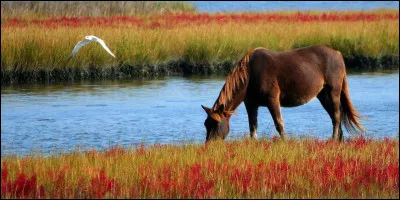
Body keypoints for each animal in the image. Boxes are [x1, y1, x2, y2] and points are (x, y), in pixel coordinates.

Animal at [203, 45, 366, 142]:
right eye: (206, 124)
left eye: (216, 124)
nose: (209, 145)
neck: (250, 76)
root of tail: (338, 54)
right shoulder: (251, 104)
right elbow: (252, 127)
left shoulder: (272, 100)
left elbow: (279, 124)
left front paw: (284, 142)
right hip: (323, 94)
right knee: (334, 116)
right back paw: (339, 140)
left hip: (334, 91)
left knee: (337, 116)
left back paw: (333, 139)